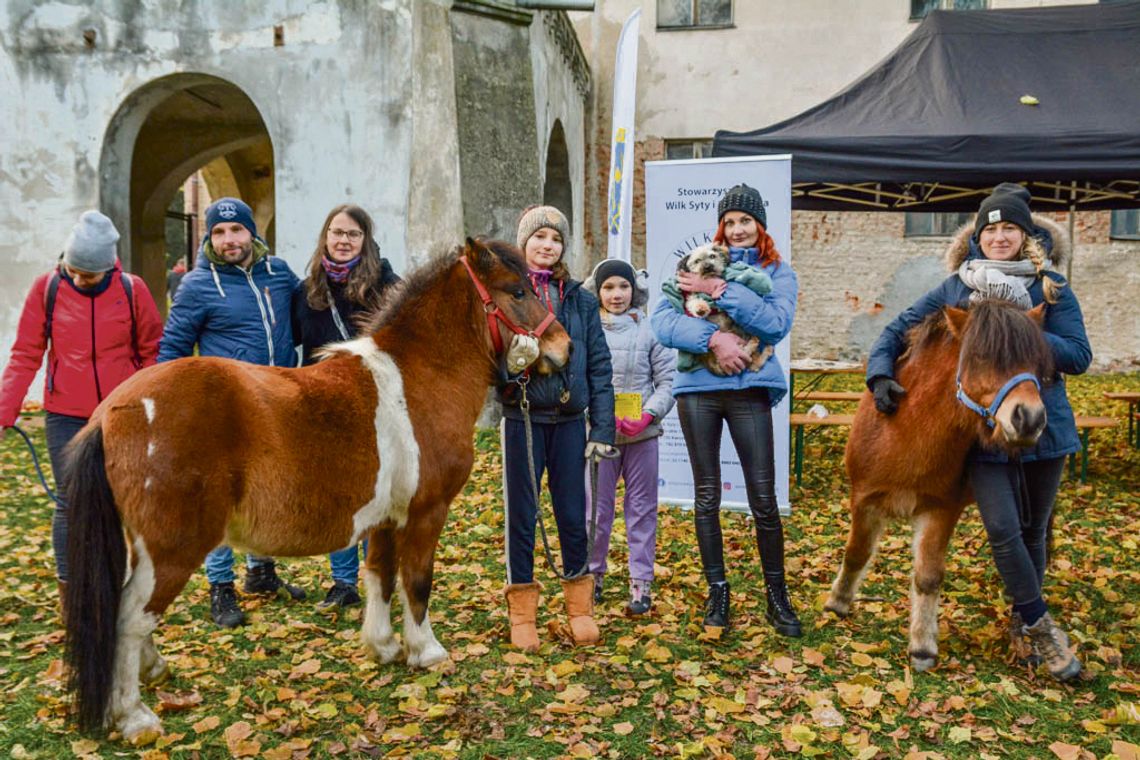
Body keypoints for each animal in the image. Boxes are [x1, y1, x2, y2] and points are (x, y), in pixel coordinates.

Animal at [62, 239, 570, 742]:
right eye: (517, 291)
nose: (563, 346)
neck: (417, 379)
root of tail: (113, 411)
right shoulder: (427, 512)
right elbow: (417, 581)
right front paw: (426, 651)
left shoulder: (386, 519)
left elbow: (380, 576)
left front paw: (384, 647)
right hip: (172, 549)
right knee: (130, 618)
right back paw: (134, 717)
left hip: (144, 549)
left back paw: (153, 672)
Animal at [674, 243, 775, 378]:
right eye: (697, 261)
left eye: (712, 256)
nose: (708, 267)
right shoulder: (691, 296)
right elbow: (694, 302)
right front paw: (701, 308)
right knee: (753, 361)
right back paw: (758, 345)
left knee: (754, 362)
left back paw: (761, 346)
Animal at [825, 300, 1053, 669]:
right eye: (982, 357)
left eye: (1038, 363)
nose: (1030, 419)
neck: (906, 434)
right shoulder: (863, 499)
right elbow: (857, 553)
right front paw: (838, 602)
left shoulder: (940, 510)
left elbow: (928, 577)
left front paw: (922, 645)